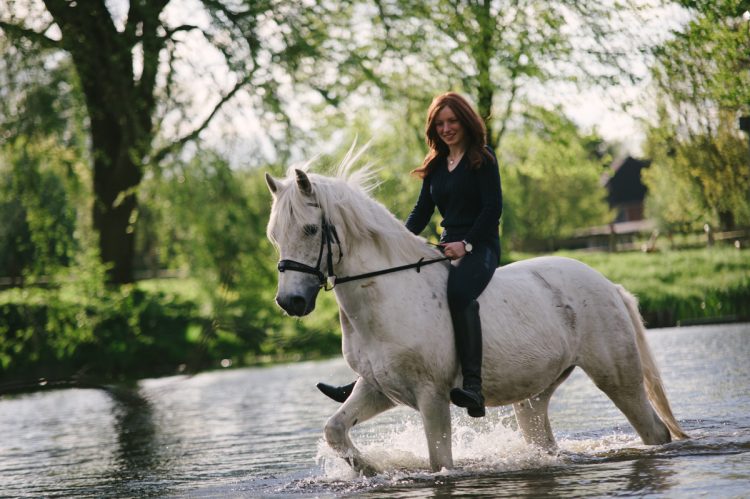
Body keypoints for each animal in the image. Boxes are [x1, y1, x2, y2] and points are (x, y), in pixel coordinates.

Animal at [264, 150, 688, 475]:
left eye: (310, 229)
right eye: (274, 235)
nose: (290, 302)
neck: (386, 296)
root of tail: (609, 285)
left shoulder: (432, 396)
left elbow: (440, 464)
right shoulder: (377, 387)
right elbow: (334, 429)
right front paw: (370, 469)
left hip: (617, 378)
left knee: (654, 432)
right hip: (533, 396)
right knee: (545, 440)